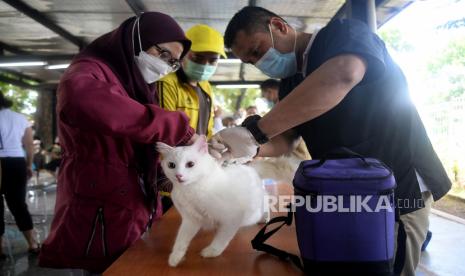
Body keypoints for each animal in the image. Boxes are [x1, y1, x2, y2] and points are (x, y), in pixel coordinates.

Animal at [155, 136, 264, 268]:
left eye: (190, 164)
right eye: (171, 165)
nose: (178, 175)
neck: (191, 190)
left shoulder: (232, 218)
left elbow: (222, 238)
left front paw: (212, 251)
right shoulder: (190, 220)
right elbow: (181, 239)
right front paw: (176, 257)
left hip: (253, 211)